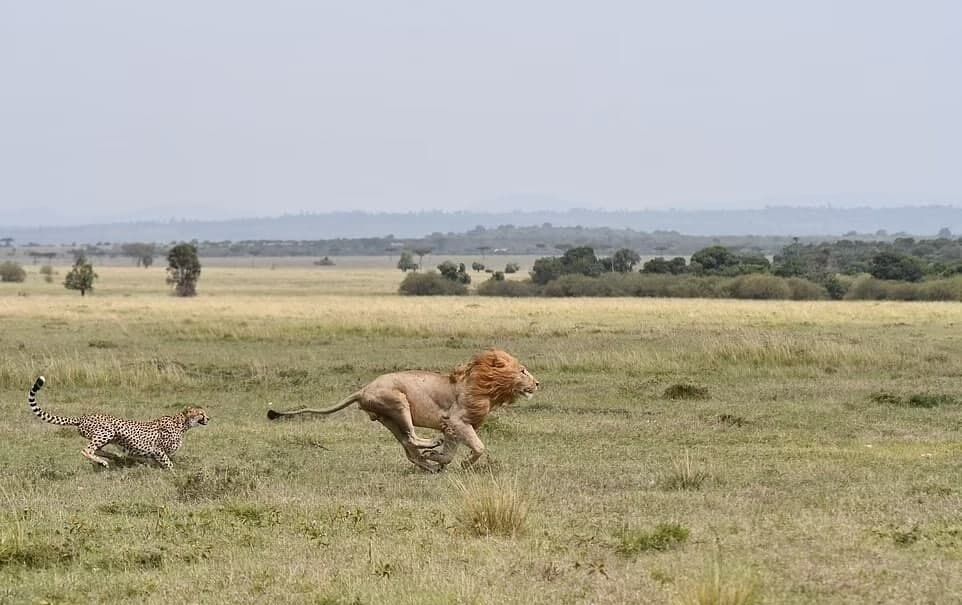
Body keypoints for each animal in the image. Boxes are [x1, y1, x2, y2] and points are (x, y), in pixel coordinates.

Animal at [27, 376, 208, 470]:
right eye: (201, 413)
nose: (208, 418)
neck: (182, 423)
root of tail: (83, 417)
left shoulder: (156, 454)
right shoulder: (158, 450)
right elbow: (169, 464)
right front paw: (176, 474)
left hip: (107, 436)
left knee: (98, 449)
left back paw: (113, 456)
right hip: (106, 432)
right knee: (87, 450)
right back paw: (104, 461)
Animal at [266, 346, 536, 470]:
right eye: (523, 371)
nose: (538, 383)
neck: (486, 387)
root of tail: (362, 390)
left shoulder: (453, 426)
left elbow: (452, 450)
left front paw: (441, 460)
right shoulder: (457, 420)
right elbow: (479, 447)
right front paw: (460, 463)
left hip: (389, 419)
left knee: (408, 445)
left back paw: (428, 464)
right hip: (398, 402)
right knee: (413, 438)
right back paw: (430, 446)